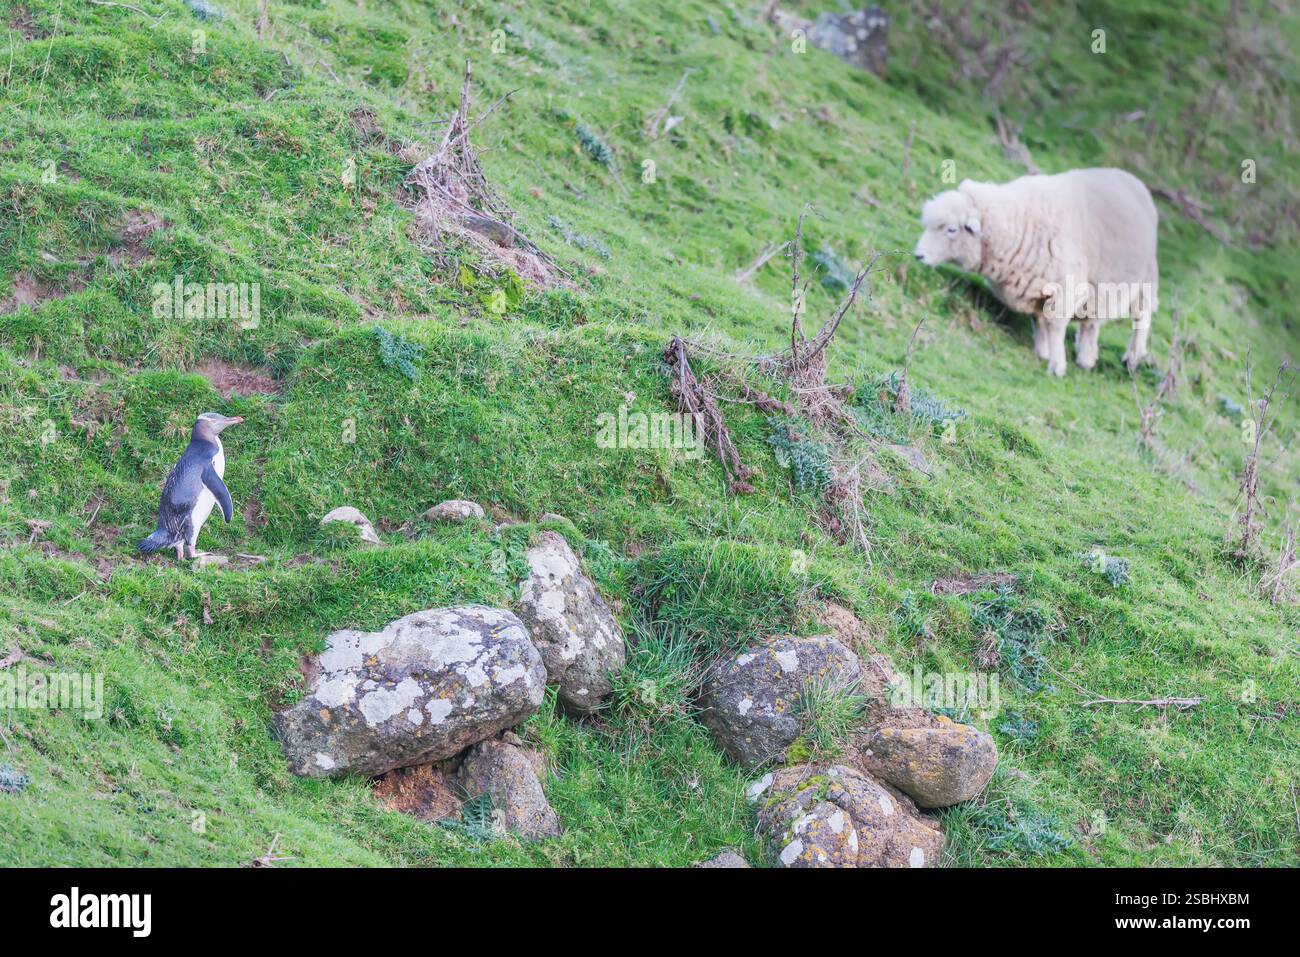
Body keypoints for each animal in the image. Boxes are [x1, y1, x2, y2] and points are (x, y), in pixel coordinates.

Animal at [913, 168, 1159, 376]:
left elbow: (1056, 326)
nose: (918, 255)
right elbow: (1039, 321)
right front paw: (1043, 351)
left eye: (951, 229)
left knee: (1142, 316)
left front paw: (1057, 366)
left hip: (1146, 277)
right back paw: (1086, 357)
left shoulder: (1065, 289)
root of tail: (1131, 178)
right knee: (1091, 321)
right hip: (1099, 284)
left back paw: (1133, 358)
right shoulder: (1032, 288)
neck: (1016, 224)